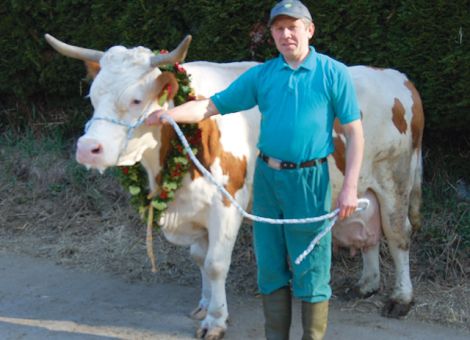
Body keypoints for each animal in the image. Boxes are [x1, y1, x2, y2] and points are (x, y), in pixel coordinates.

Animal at [46, 33, 424, 338]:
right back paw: (367, 284)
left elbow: (215, 263)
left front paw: (215, 321)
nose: (88, 149)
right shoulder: (194, 207)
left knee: (398, 235)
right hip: (358, 188)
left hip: (395, 179)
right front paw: (204, 305)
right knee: (370, 234)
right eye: (92, 97)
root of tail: (397, 77)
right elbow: (199, 259)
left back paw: (401, 298)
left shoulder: (225, 204)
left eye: (137, 99)